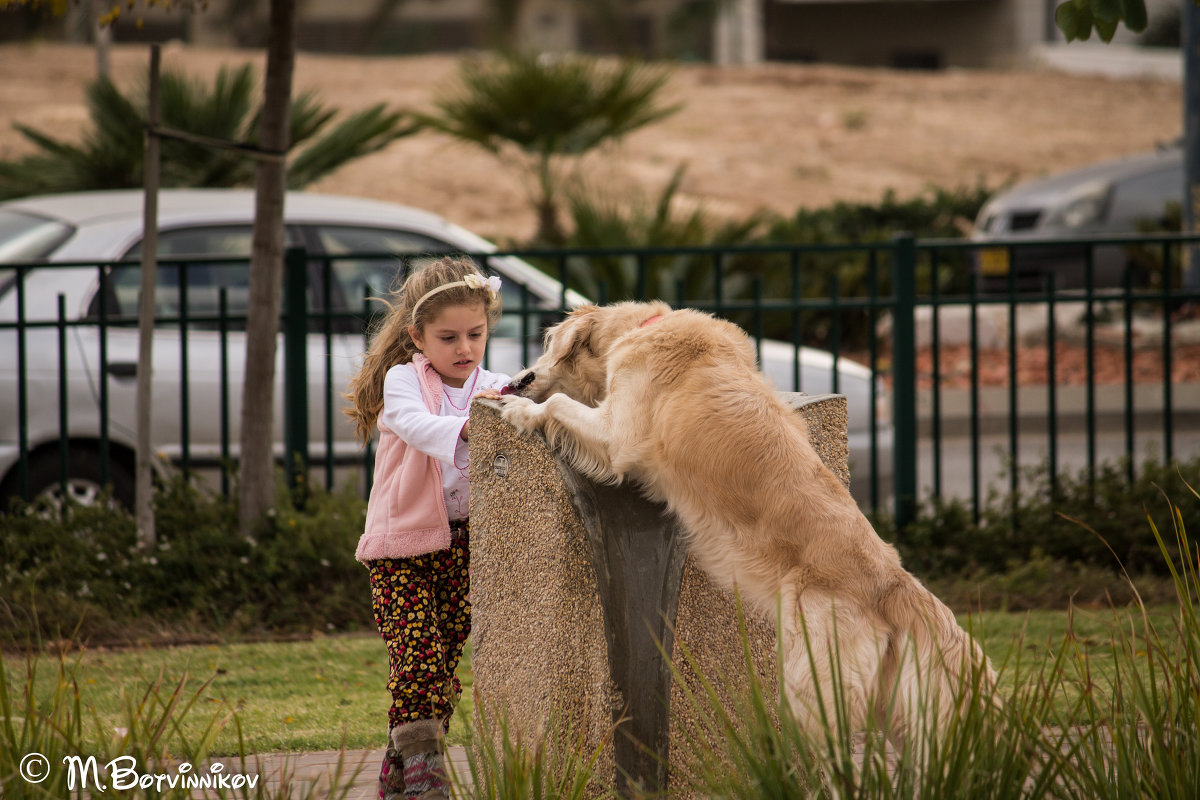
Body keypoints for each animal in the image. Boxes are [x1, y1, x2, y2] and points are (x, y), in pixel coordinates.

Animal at [496, 302, 993, 753]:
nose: (517, 374)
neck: (643, 326)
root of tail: (893, 582)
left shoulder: (619, 435)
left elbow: (559, 402)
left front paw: (520, 410)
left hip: (813, 684)